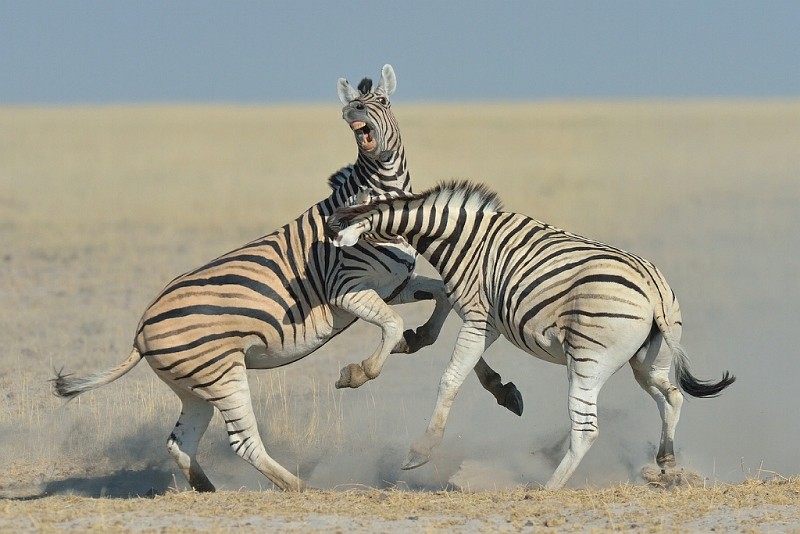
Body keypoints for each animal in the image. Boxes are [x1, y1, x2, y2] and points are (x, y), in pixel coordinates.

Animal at [53, 66, 520, 494]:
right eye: (351, 104)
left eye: (383, 102)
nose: (354, 112)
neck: (377, 204)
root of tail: (140, 330)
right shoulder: (347, 290)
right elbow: (391, 326)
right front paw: (358, 372)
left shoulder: (394, 285)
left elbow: (441, 300)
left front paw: (455, 359)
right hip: (222, 374)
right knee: (242, 442)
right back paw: (301, 488)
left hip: (195, 388)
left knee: (179, 442)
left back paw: (208, 489)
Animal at [326, 182, 736, 492]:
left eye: (350, 206)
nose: (329, 229)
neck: (461, 240)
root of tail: (654, 290)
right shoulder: (487, 319)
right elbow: (459, 349)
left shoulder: (478, 315)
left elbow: (451, 378)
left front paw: (419, 452)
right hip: (647, 362)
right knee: (671, 395)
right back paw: (665, 461)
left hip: (587, 362)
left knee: (587, 429)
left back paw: (547, 488)